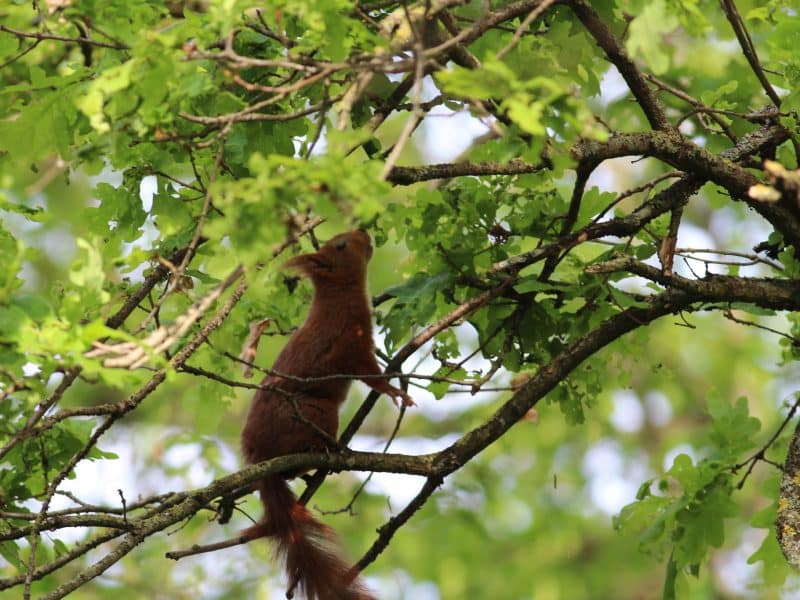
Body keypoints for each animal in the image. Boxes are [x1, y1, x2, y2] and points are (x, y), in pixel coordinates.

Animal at [240, 229, 413, 600]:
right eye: (341, 245)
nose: (364, 230)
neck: (338, 296)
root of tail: (258, 455)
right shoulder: (350, 344)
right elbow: (369, 375)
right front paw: (394, 391)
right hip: (318, 413)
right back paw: (326, 451)